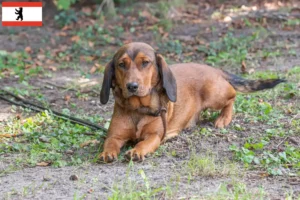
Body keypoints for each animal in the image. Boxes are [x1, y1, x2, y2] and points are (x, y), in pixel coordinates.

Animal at [98, 42, 284, 162]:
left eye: (145, 63)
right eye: (121, 64)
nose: (132, 86)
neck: (138, 109)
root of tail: (215, 69)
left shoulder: (155, 136)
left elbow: (145, 142)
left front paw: (137, 150)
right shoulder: (114, 135)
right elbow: (110, 143)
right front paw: (107, 153)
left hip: (214, 95)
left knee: (232, 96)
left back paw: (223, 118)